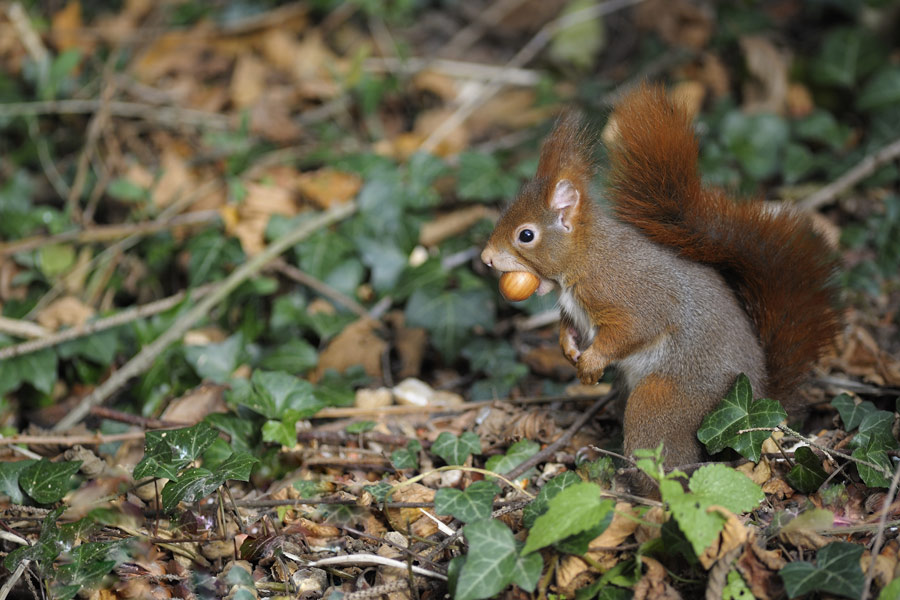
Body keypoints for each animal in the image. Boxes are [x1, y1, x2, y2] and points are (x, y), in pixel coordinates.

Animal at [482, 82, 840, 472]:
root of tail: (759, 399)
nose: (486, 258)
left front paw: (592, 361)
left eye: (526, 235)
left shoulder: (623, 290)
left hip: (665, 401)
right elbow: (570, 327)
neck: (583, 259)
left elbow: (636, 327)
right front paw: (568, 348)